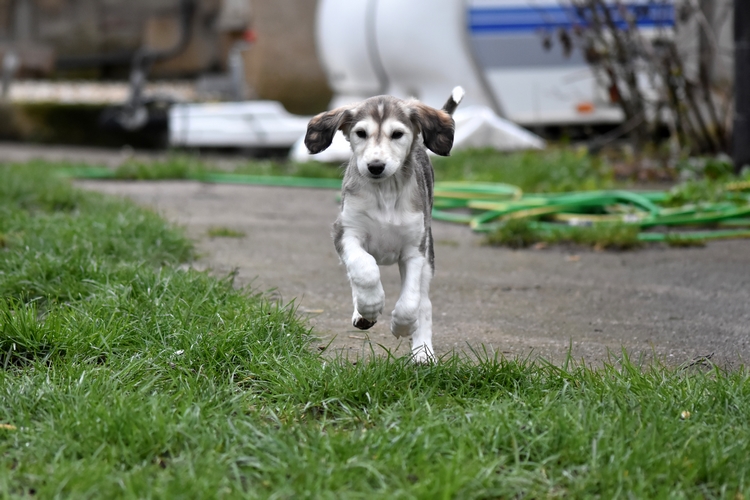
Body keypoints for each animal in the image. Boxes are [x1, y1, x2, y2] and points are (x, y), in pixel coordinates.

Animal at [306, 87, 464, 364]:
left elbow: (411, 302)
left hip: (429, 255)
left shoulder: (415, 250)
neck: (385, 194)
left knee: (424, 302)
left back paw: (423, 352)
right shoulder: (346, 233)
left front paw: (402, 326)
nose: (375, 166)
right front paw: (369, 306)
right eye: (360, 133)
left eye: (397, 134)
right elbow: (365, 270)